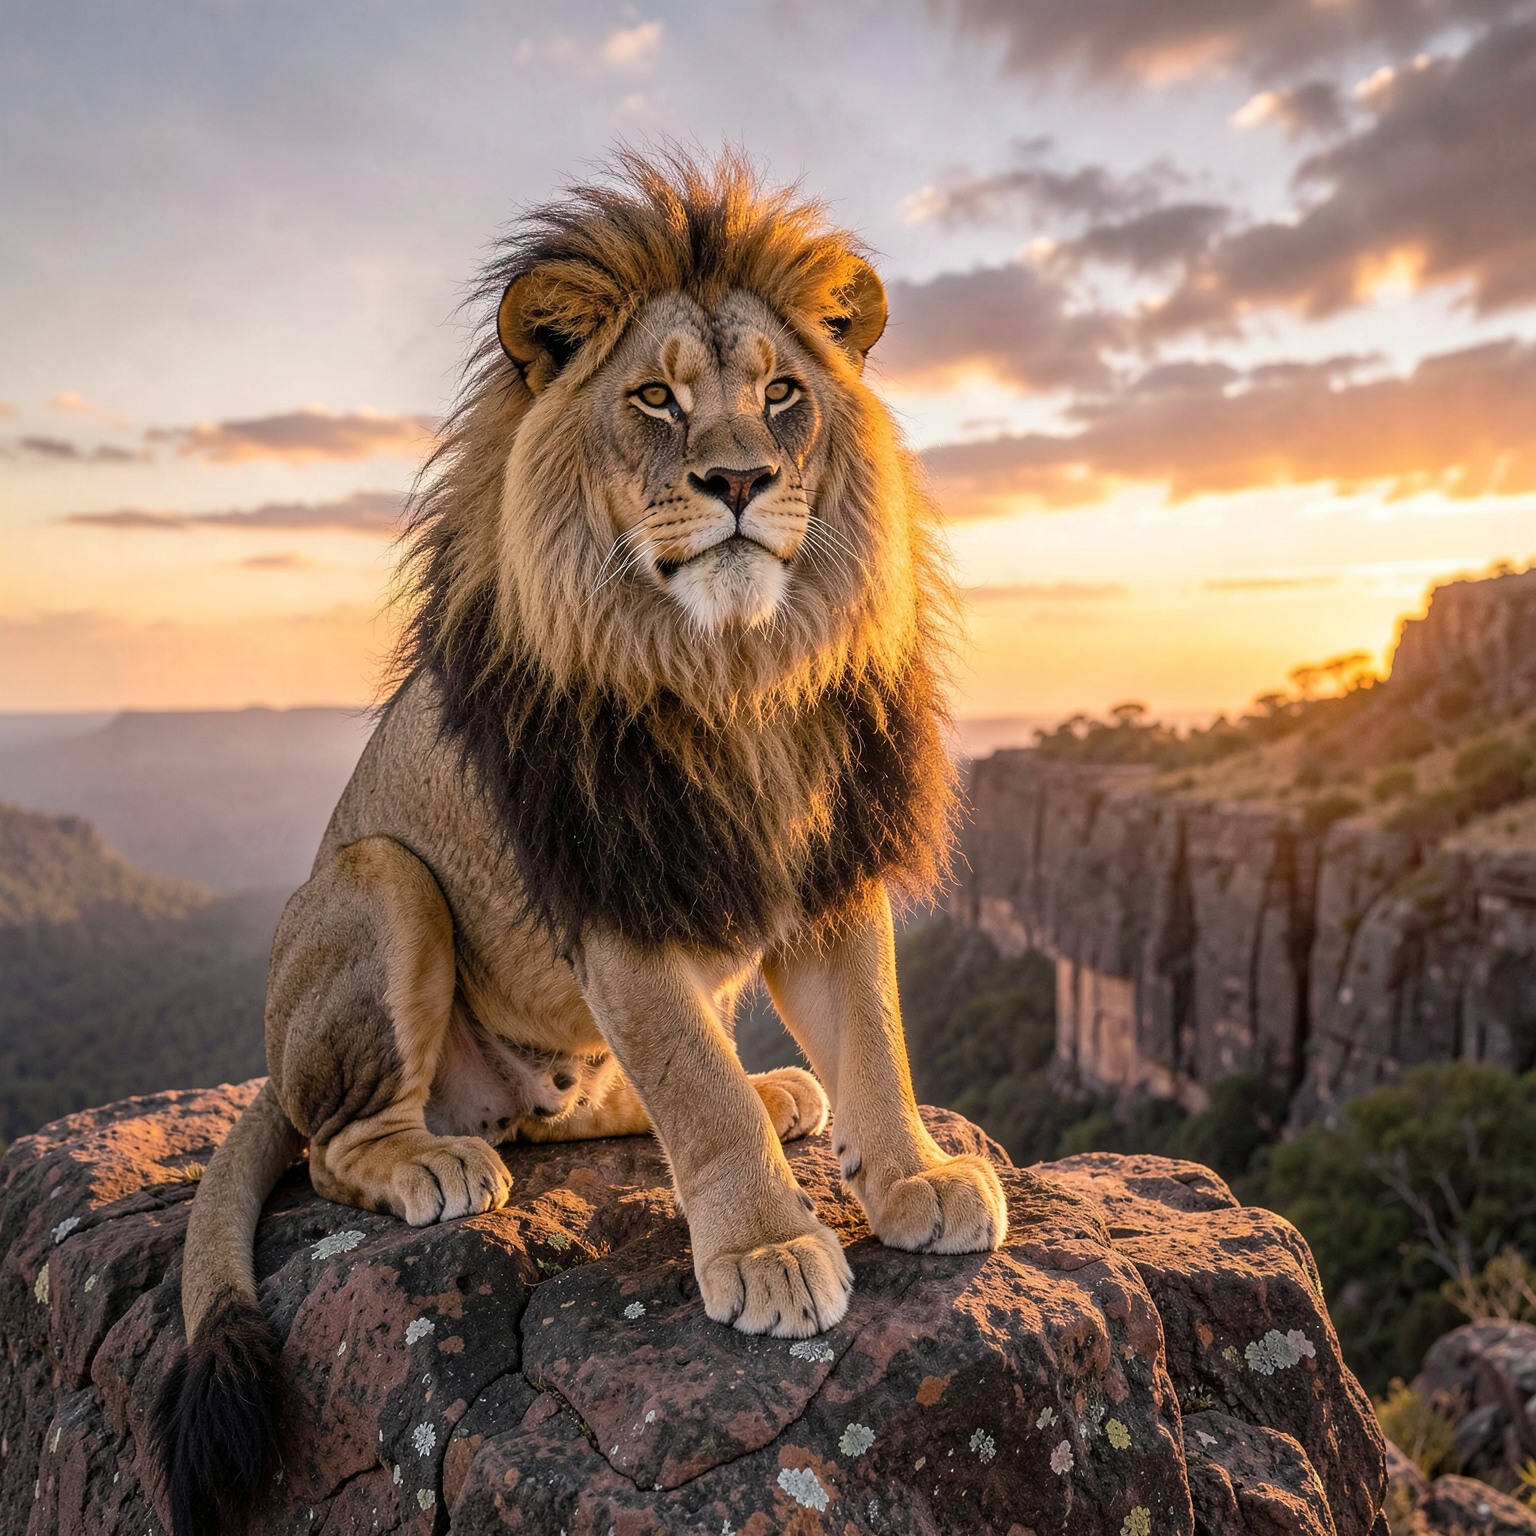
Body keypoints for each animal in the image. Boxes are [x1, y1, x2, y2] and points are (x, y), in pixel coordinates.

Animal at [154, 148, 1007, 1535]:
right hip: (378, 885)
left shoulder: (830, 871)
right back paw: (435, 1162)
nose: (738, 483)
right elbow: (695, 1087)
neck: (736, 675)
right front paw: (770, 1248)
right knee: (337, 1146)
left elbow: (874, 1041)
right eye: (656, 399)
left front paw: (916, 1176)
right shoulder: (615, 893)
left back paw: (774, 1089)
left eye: (781, 395)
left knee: (585, 1109)